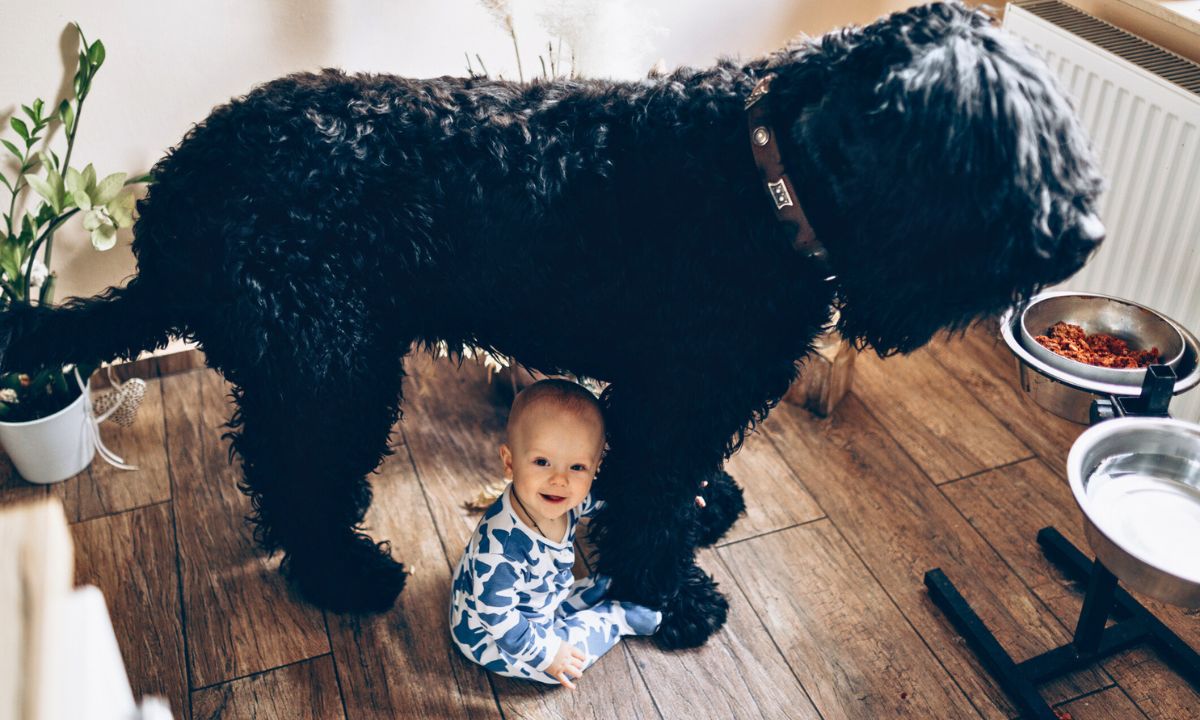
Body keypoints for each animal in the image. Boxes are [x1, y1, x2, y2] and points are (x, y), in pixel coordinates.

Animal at [2, 0, 1104, 648]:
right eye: (990, 139)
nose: (1084, 232)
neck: (754, 172)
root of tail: (177, 199)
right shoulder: (678, 388)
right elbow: (650, 501)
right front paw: (676, 595)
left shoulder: (687, 390)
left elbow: (669, 484)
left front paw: (706, 509)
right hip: (331, 366)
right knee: (299, 481)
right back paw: (345, 575)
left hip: (312, 361)